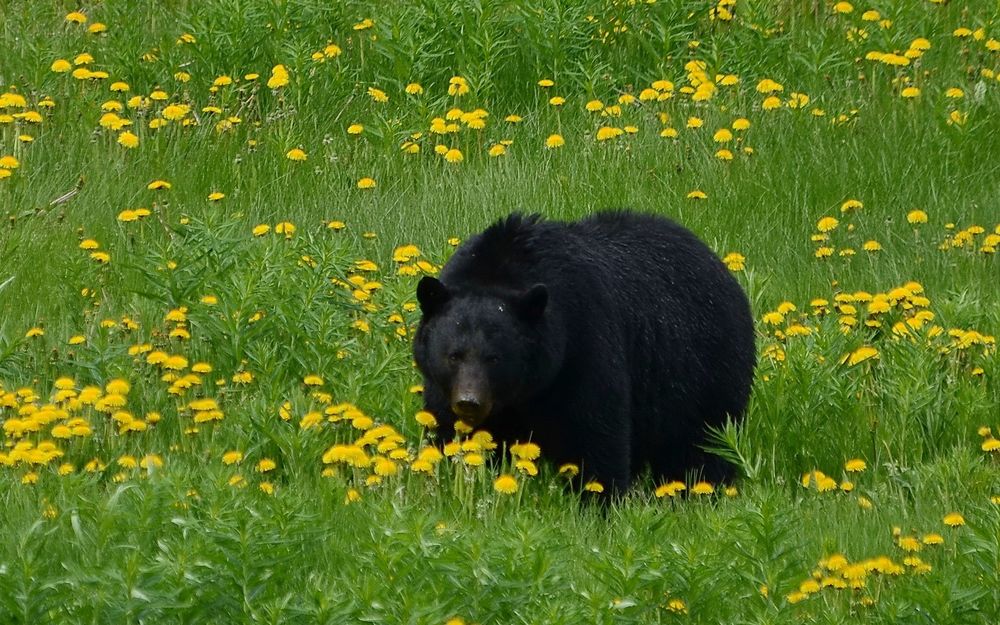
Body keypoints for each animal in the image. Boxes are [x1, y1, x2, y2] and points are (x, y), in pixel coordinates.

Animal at [410, 212, 752, 494]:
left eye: (494, 358)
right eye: (454, 355)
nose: (469, 402)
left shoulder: (584, 344)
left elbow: (596, 434)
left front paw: (598, 501)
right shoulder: (443, 388)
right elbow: (444, 429)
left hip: (704, 372)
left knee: (703, 447)